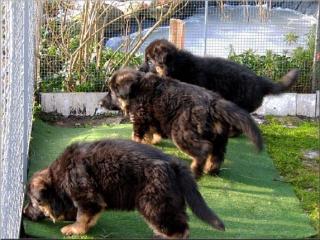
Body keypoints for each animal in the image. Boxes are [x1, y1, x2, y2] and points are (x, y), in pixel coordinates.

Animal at [107, 68, 262, 177]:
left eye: (112, 92)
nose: (102, 102)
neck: (136, 88)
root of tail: (214, 103)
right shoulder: (151, 119)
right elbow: (152, 132)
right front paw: (152, 142)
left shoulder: (140, 118)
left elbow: (138, 135)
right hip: (220, 137)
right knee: (217, 154)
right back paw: (210, 170)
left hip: (181, 131)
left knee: (204, 149)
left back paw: (195, 171)